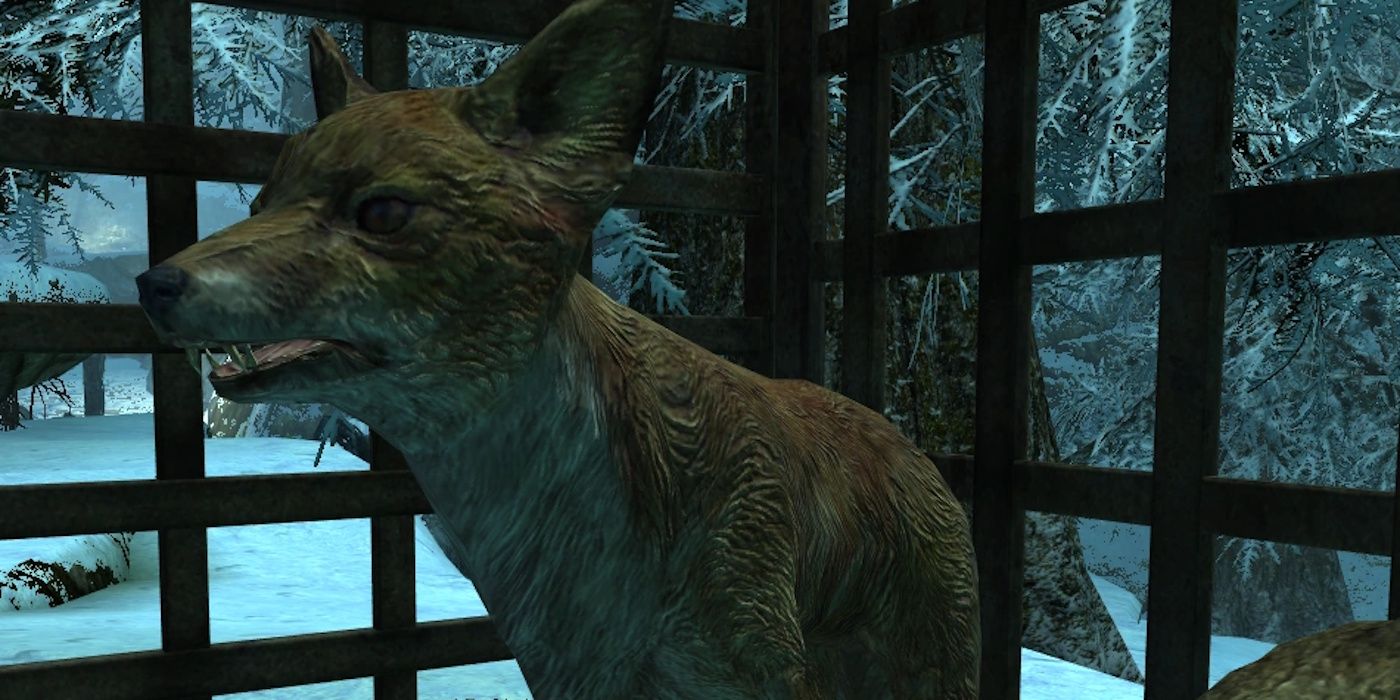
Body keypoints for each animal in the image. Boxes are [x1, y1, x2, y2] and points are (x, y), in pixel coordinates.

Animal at [134, 0, 979, 697]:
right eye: (261, 201)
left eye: (382, 213)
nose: (155, 283)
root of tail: (906, 444)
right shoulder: (564, 669)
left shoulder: (755, 663)